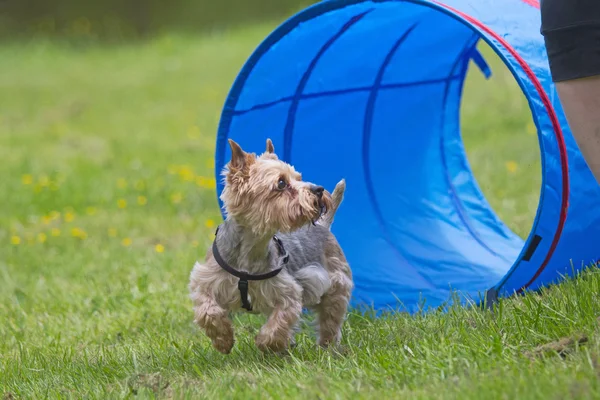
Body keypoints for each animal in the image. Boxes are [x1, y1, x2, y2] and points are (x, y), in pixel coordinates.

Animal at [189, 138, 352, 354]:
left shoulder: (289, 292)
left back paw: (327, 347)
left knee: (331, 318)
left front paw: (267, 344)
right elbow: (208, 311)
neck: (251, 248)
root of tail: (323, 225)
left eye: (298, 177)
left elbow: (279, 321)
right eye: (281, 183)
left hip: (337, 283)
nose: (318, 189)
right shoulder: (206, 281)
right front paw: (223, 341)